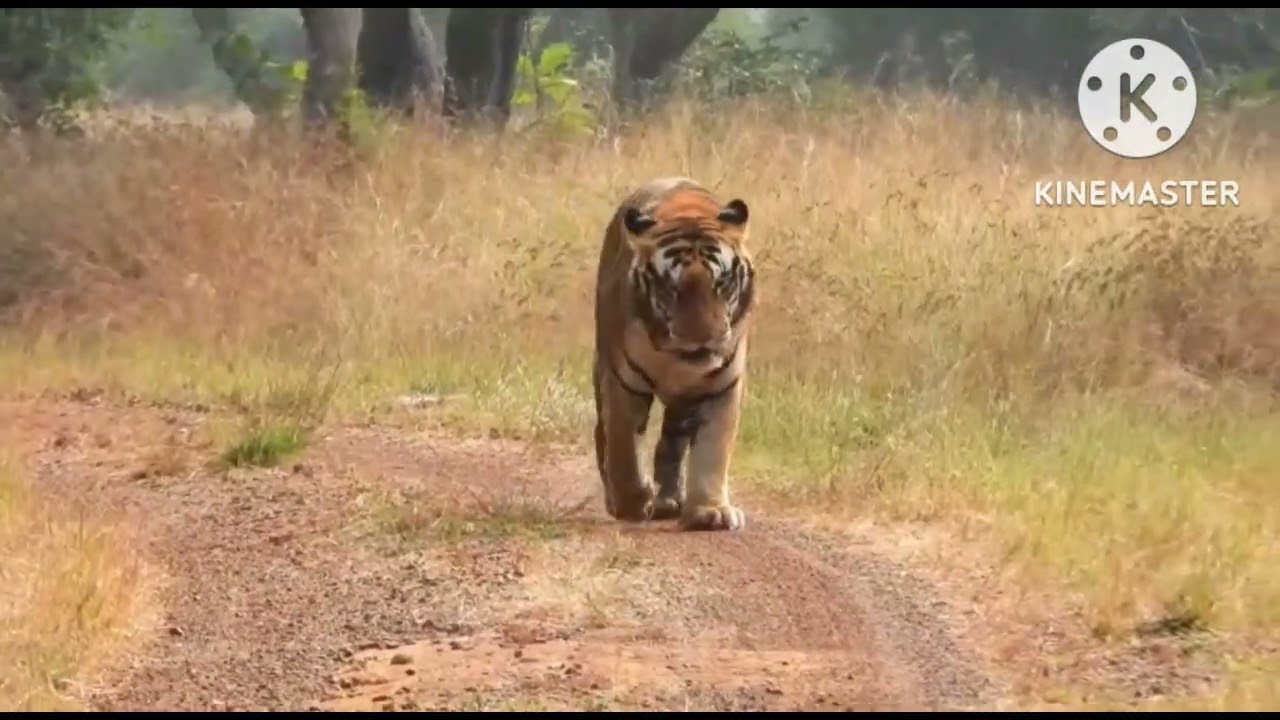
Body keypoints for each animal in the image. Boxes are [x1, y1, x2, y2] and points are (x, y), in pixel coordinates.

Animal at [591, 176, 757, 532]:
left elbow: (713, 447)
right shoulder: (623, 383)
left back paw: (668, 500)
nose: (703, 340)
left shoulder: (724, 385)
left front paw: (710, 510)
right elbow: (623, 446)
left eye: (721, 283)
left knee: (670, 443)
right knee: (604, 434)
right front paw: (632, 502)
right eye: (672, 288)